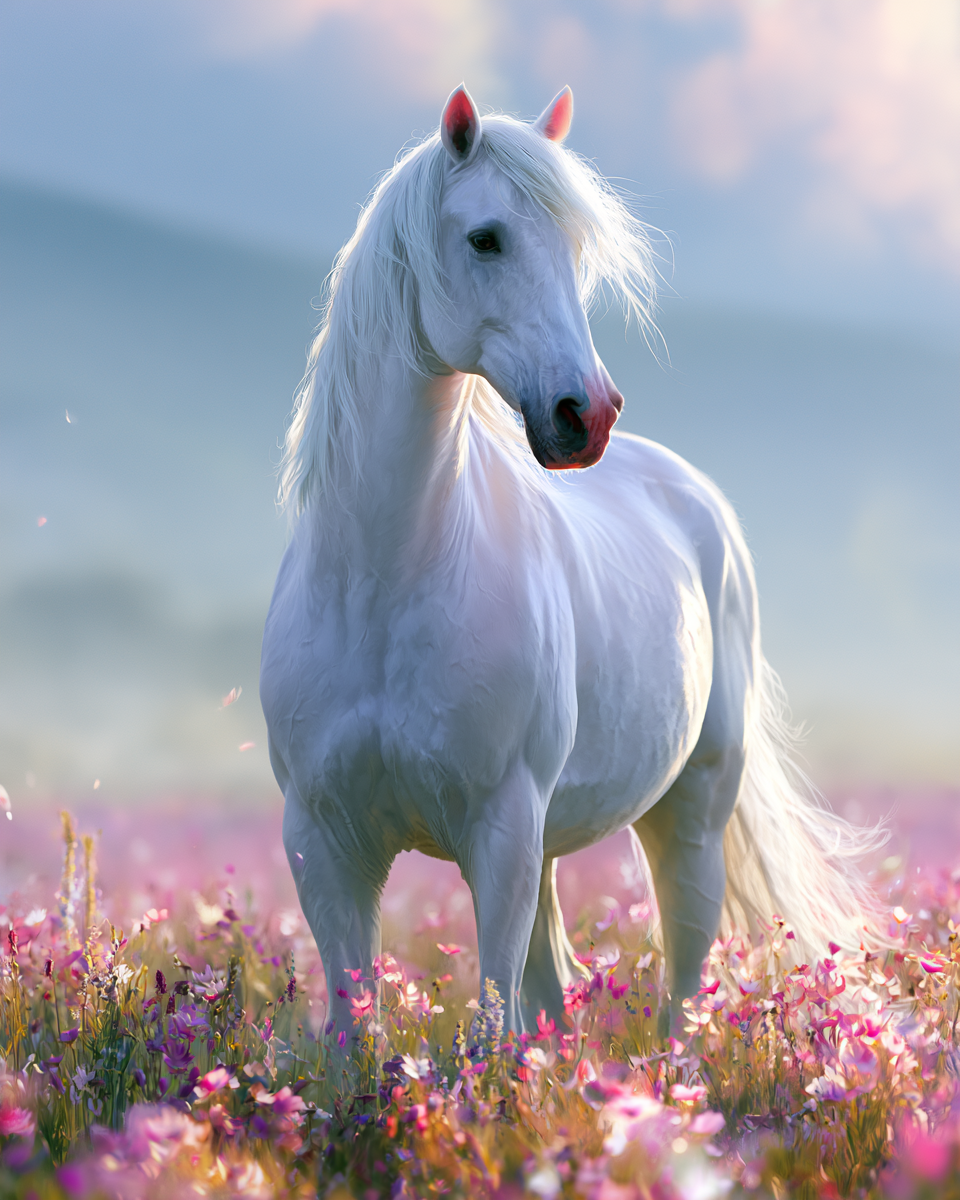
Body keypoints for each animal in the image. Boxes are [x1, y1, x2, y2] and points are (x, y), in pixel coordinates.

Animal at [260, 84, 878, 1043]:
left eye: (577, 249)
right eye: (486, 238)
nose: (587, 414)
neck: (383, 585)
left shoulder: (501, 835)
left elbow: (489, 1027)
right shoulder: (324, 845)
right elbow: (359, 1032)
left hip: (686, 818)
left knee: (681, 985)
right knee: (554, 994)